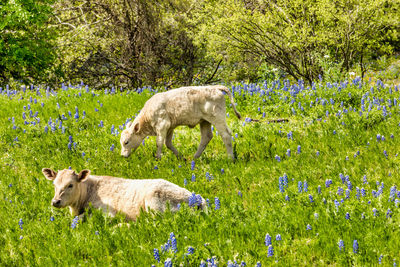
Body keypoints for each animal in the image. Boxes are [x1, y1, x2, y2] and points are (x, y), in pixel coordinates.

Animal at [42, 170, 202, 222]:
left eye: (70, 185)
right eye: (54, 184)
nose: (55, 201)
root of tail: (198, 199)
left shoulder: (107, 212)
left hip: (155, 205)